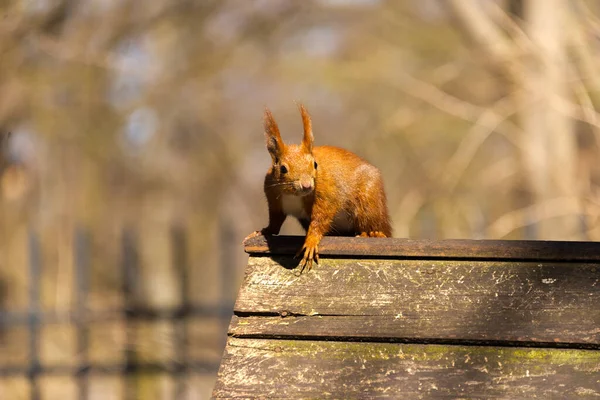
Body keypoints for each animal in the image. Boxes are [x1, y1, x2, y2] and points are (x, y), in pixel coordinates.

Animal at [245, 104, 394, 272]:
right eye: (283, 169)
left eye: (315, 164)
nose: (307, 185)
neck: (293, 194)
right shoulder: (274, 199)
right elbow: (275, 223)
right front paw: (263, 231)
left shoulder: (326, 195)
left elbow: (320, 219)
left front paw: (311, 241)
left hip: (369, 203)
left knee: (378, 226)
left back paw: (374, 234)